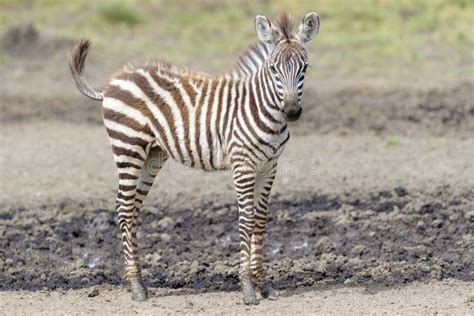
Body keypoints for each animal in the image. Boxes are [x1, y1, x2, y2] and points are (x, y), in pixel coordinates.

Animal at [67, 11, 318, 304]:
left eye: (304, 68)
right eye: (273, 69)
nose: (291, 111)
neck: (263, 109)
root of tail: (113, 81)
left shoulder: (269, 166)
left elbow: (259, 220)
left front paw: (263, 285)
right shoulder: (242, 165)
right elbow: (246, 220)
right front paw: (247, 288)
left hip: (152, 156)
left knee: (131, 209)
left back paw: (139, 283)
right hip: (128, 147)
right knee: (124, 207)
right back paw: (136, 287)